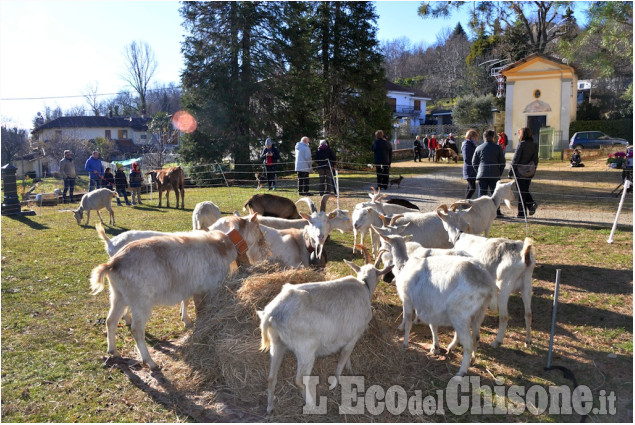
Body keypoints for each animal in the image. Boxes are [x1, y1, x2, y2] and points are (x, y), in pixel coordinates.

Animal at [90, 214, 268, 370]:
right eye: (257, 227)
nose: (263, 240)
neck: (222, 243)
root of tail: (113, 263)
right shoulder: (208, 288)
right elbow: (202, 311)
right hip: (141, 302)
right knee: (136, 330)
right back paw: (150, 362)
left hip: (118, 295)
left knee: (110, 320)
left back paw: (113, 351)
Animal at [258, 243, 392, 412]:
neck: (364, 285)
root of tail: (271, 313)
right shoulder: (353, 336)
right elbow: (342, 360)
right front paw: (335, 383)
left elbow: (346, 357)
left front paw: (349, 368)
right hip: (306, 350)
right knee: (300, 380)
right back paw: (312, 405)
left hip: (277, 344)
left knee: (271, 377)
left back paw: (270, 407)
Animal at [378, 230, 496, 376]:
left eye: (384, 243)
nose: (385, 278)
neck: (403, 266)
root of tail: (487, 284)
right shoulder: (430, 304)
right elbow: (433, 326)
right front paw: (435, 347)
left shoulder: (407, 299)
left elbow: (408, 321)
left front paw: (404, 342)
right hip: (479, 312)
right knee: (477, 337)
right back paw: (472, 358)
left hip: (459, 313)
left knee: (467, 344)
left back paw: (460, 372)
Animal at [438, 205, 536, 348]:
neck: (460, 236)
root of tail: (524, 255)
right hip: (527, 284)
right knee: (528, 313)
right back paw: (528, 341)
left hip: (504, 285)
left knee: (504, 316)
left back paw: (497, 341)